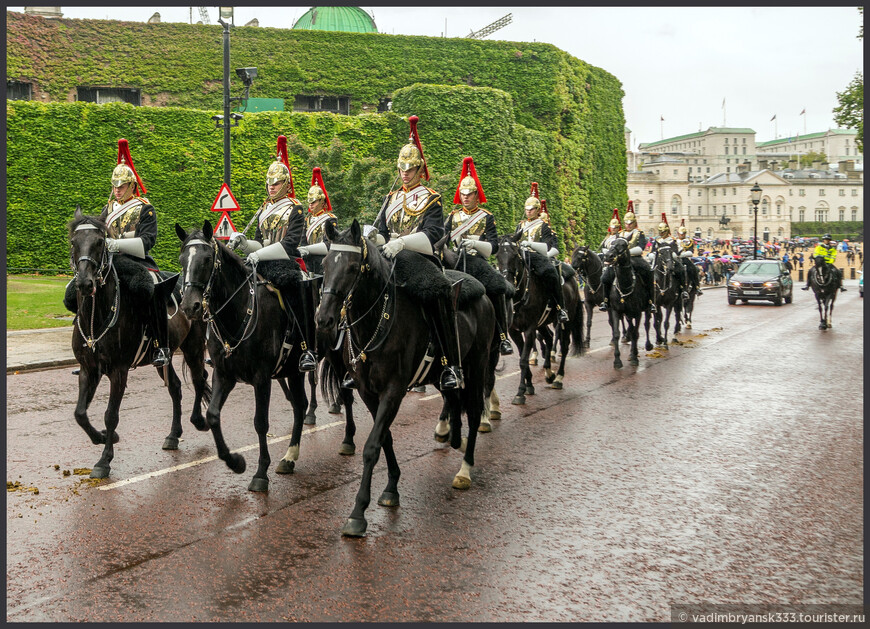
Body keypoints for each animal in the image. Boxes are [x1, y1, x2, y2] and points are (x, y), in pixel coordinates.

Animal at [68, 206, 211, 476]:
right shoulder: (88, 368)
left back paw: (199, 421)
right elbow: (80, 413)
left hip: (194, 347)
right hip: (163, 357)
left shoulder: (118, 370)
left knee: (199, 380)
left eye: (100, 241)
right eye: (74, 242)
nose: (84, 283)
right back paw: (173, 435)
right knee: (176, 387)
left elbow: (111, 415)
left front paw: (104, 460)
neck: (95, 316)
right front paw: (103, 437)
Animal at [174, 221, 354, 490]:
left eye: (206, 259)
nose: (189, 306)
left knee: (345, 395)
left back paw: (348, 441)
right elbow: (213, 416)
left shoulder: (261, 378)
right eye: (182, 259)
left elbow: (260, 423)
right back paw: (290, 457)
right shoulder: (224, 374)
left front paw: (260, 474)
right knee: (300, 406)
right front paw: (235, 462)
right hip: (294, 371)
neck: (239, 311)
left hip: (336, 358)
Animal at [318, 220, 498, 536]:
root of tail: (482, 290)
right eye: (324, 264)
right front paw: (391, 488)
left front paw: (358, 513)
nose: (324, 319)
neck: (376, 321)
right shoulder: (368, 392)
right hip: (441, 373)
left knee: (476, 412)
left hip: (477, 364)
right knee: (453, 398)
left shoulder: (393, 390)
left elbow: (372, 446)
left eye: (352, 267)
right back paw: (453, 436)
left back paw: (465, 469)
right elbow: (385, 438)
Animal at [498, 233, 584, 404]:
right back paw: (549, 372)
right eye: (497, 256)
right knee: (549, 338)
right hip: (542, 323)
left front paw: (520, 392)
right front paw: (529, 385)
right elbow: (523, 358)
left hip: (566, 321)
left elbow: (523, 360)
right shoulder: (514, 331)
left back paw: (558, 378)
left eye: (515, 255)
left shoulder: (529, 329)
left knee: (564, 346)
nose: (508, 285)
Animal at [608, 239, 656, 368]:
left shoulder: (638, 313)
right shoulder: (616, 311)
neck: (625, 287)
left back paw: (647, 346)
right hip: (628, 314)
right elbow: (616, 333)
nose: (608, 255)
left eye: (623, 245)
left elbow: (635, 333)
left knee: (646, 325)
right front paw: (617, 360)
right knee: (631, 326)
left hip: (646, 309)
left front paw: (635, 358)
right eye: (611, 244)